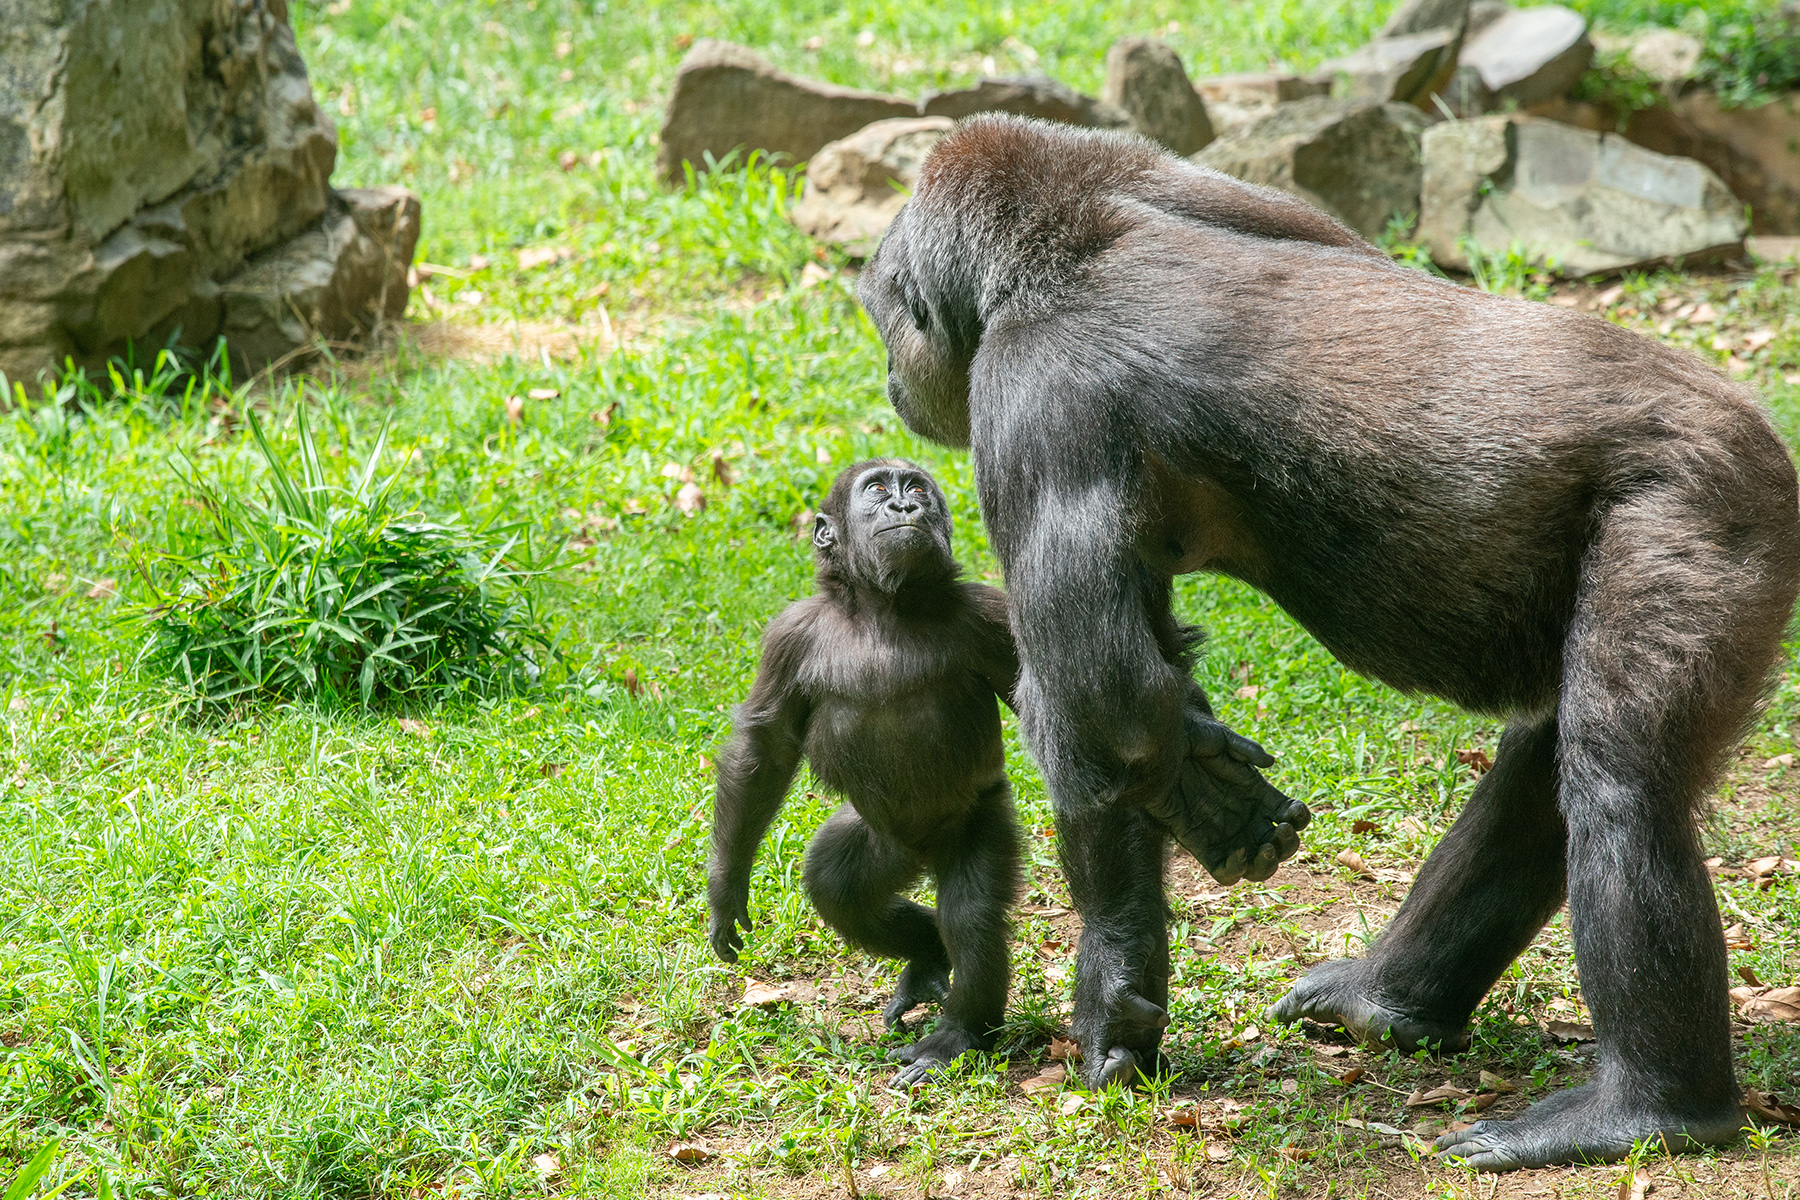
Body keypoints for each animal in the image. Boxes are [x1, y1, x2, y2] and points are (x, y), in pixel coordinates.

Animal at [705, 456, 1022, 1086]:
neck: (883, 605)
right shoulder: (790, 636)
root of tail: (921, 855)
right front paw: (726, 889)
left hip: (981, 817)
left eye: (916, 486)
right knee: (838, 888)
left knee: (971, 916)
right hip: (882, 842)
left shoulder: (990, 614)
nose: (905, 506)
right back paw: (925, 956)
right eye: (877, 490)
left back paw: (956, 1034)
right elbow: (765, 749)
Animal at [856, 115, 1800, 1173]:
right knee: (1546, 765)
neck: (1062, 249)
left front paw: (1110, 984)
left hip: (1703, 504)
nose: (891, 375)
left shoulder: (1029, 394)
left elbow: (1104, 714)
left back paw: (1649, 1109)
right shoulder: (1154, 168)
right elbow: (1147, 698)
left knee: (1619, 784)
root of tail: (1764, 437)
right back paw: (1388, 1003)